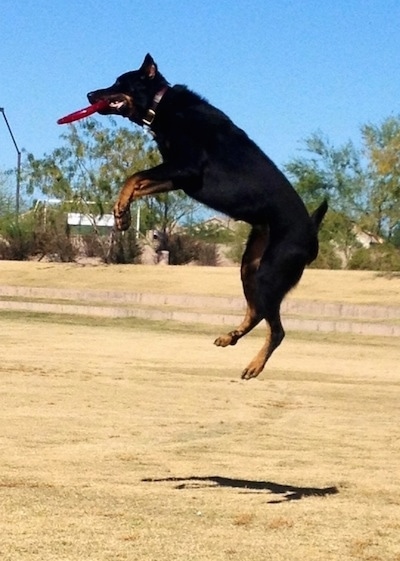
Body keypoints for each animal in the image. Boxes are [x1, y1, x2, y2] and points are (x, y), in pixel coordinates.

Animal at [88, 53, 328, 376]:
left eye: (118, 82)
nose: (89, 95)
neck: (162, 105)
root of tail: (312, 232)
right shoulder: (175, 176)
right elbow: (136, 182)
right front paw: (121, 213)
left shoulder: (185, 168)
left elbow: (134, 176)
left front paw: (121, 212)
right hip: (249, 267)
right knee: (256, 312)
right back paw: (230, 337)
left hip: (271, 272)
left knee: (277, 330)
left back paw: (255, 365)